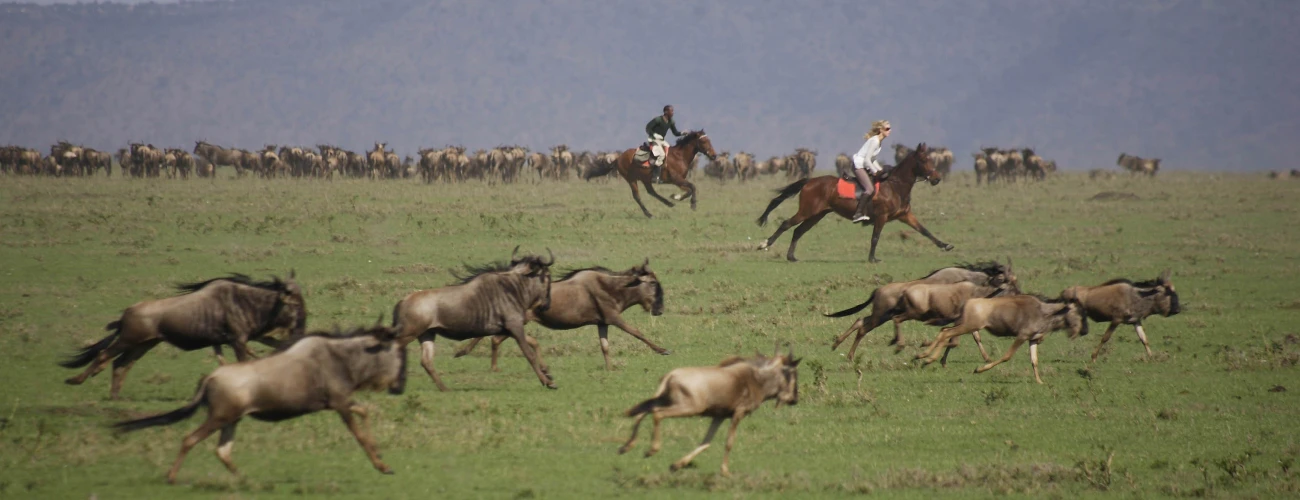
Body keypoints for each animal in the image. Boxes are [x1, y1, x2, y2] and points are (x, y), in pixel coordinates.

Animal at [113, 322, 405, 480]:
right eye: (399, 353)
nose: (400, 386)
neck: (338, 357)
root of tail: (211, 377)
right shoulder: (340, 404)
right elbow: (359, 433)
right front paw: (382, 465)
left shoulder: (341, 403)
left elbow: (365, 412)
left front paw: (381, 457)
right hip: (220, 417)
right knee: (190, 439)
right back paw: (172, 477)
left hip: (232, 420)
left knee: (222, 451)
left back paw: (244, 480)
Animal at [618, 345, 800, 472]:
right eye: (793, 374)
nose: (794, 399)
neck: (756, 379)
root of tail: (670, 375)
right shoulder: (738, 413)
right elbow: (729, 442)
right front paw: (725, 471)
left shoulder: (719, 416)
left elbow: (706, 441)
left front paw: (677, 465)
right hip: (687, 407)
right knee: (657, 413)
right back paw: (651, 450)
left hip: (666, 400)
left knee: (643, 411)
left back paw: (626, 446)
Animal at [754, 142, 956, 262]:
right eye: (923, 159)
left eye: (930, 158)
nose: (937, 178)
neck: (895, 185)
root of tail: (810, 181)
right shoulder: (882, 216)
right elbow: (875, 237)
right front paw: (872, 259)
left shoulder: (905, 215)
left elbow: (925, 231)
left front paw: (945, 245)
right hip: (807, 211)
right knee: (786, 224)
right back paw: (765, 244)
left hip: (817, 214)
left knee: (798, 230)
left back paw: (791, 256)